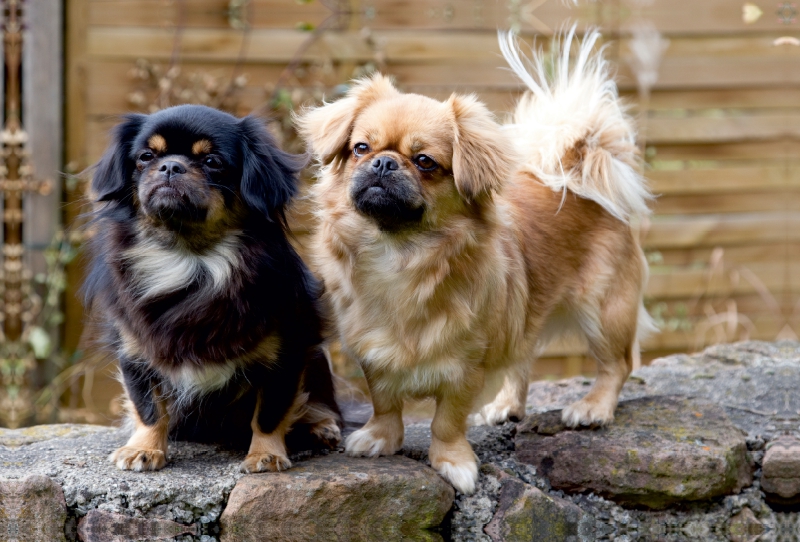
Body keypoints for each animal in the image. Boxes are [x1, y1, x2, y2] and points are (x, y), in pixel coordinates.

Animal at [84, 104, 340, 474]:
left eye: (212, 162)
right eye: (146, 157)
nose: (171, 165)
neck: (190, 257)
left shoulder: (289, 351)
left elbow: (270, 411)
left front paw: (265, 455)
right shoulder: (135, 350)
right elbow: (148, 405)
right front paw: (144, 448)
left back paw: (321, 427)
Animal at [296, 30, 652, 498]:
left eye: (424, 162)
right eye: (360, 148)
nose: (384, 162)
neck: (401, 252)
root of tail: (578, 175)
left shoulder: (466, 366)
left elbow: (447, 420)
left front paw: (453, 463)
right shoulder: (374, 349)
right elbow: (385, 401)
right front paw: (380, 438)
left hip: (603, 309)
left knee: (616, 364)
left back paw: (592, 408)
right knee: (523, 358)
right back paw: (507, 406)